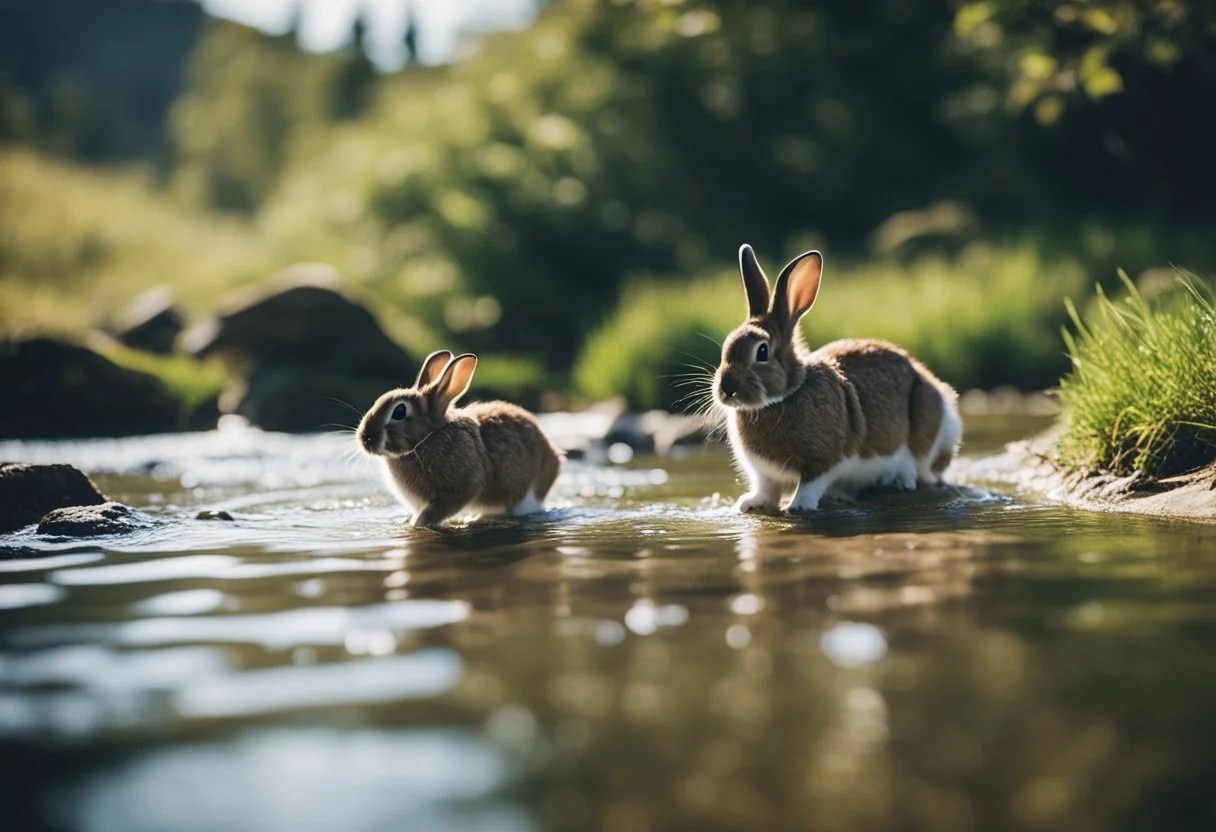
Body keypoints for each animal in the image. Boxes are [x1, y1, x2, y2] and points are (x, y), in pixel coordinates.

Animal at [356, 350, 563, 528]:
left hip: (521, 496)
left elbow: (437, 509)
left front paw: (418, 524)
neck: (428, 438)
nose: (365, 438)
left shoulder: (462, 488)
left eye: (399, 411)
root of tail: (555, 459)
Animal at [713, 244, 961, 514]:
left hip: (931, 426)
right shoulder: (765, 475)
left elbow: (810, 484)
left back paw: (897, 481)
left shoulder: (822, 460)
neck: (783, 397)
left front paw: (798, 506)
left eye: (761, 352)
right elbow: (767, 490)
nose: (727, 388)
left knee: (919, 469)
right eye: (727, 344)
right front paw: (750, 503)